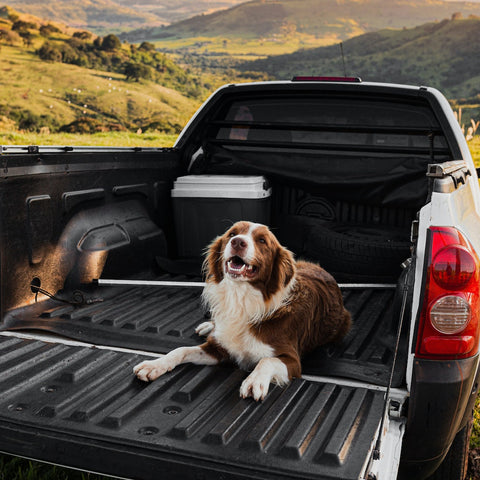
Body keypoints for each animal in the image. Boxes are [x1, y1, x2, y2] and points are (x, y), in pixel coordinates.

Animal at [133, 221, 350, 402]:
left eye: (262, 240)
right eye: (232, 233)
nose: (237, 242)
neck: (241, 298)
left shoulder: (292, 360)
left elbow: (267, 360)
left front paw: (254, 381)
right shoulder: (219, 349)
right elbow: (181, 350)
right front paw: (155, 365)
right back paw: (208, 325)